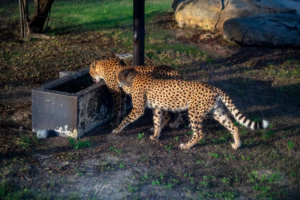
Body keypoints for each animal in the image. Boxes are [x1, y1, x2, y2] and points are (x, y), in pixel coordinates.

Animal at [112, 68, 270, 149]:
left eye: (118, 76)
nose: (116, 83)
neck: (134, 78)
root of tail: (214, 87)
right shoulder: (157, 108)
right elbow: (157, 121)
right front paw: (156, 135)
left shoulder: (138, 109)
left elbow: (127, 119)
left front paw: (116, 129)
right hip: (217, 112)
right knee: (233, 126)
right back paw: (237, 144)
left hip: (194, 111)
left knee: (199, 133)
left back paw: (186, 146)